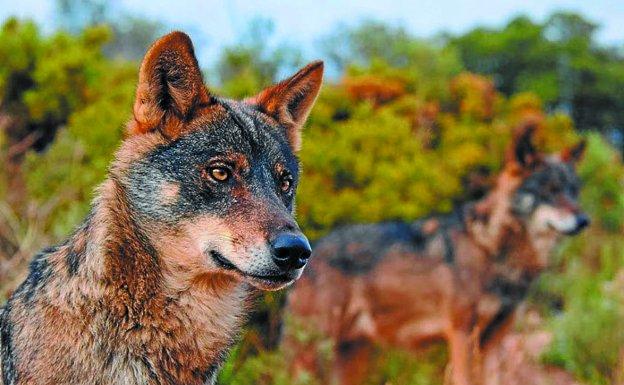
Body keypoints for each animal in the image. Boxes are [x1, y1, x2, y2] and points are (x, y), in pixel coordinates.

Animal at [288, 124, 588, 384]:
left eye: (573, 191)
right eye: (549, 191)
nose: (584, 220)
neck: (491, 248)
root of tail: (309, 250)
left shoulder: (495, 341)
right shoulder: (462, 334)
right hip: (314, 353)